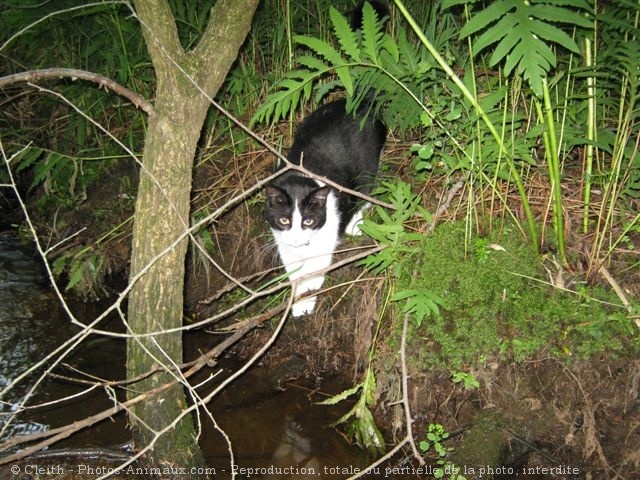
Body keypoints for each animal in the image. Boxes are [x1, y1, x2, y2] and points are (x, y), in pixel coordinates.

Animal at [264, 98, 384, 316]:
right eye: (284, 220)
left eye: (308, 220)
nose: (297, 239)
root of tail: (364, 100)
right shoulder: (282, 240)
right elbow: (293, 270)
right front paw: (299, 300)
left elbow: (316, 262)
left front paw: (310, 289)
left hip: (368, 160)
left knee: (369, 185)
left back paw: (355, 221)